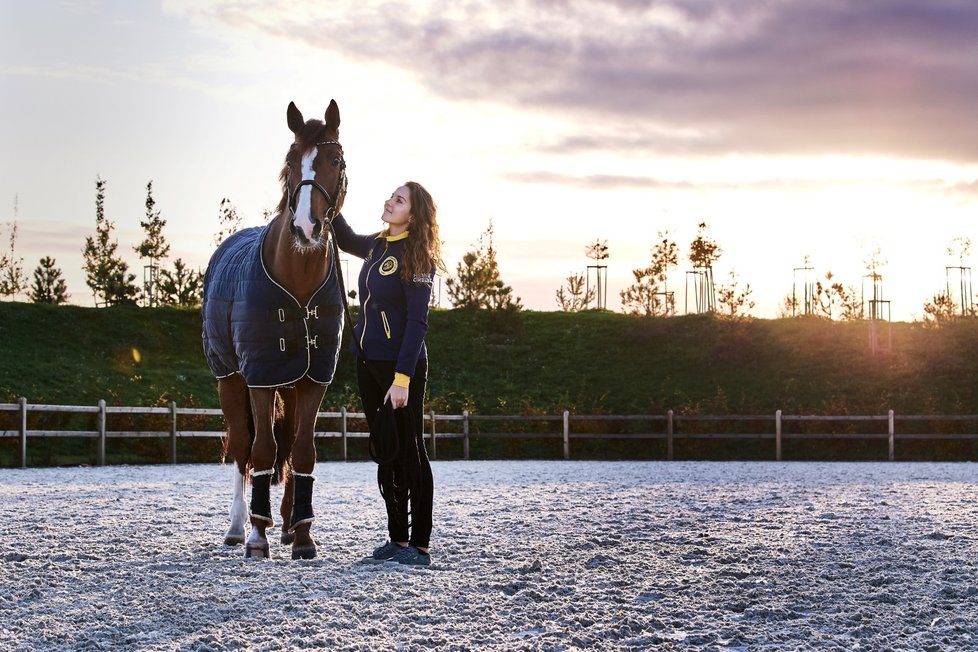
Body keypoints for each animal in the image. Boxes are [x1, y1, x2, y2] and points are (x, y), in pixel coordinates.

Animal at [200, 100, 348, 560]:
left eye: (334, 160)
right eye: (291, 161)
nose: (305, 226)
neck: (296, 279)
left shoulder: (314, 377)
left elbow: (302, 452)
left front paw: (302, 534)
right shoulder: (260, 376)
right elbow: (261, 448)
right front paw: (256, 534)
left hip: (290, 381)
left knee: (284, 443)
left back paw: (285, 523)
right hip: (229, 377)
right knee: (242, 446)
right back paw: (238, 526)